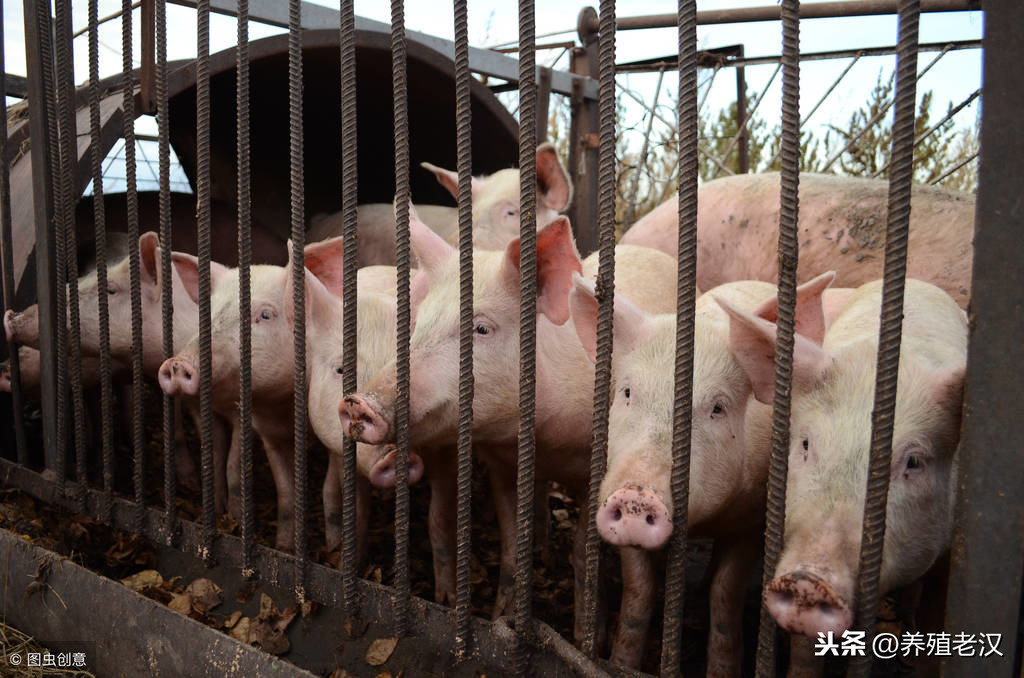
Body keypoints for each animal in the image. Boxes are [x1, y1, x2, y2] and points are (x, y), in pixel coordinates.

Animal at [337, 214, 679, 643]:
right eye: (419, 323)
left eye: (482, 329)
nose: (358, 402)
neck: (540, 438)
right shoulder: (501, 463)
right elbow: (512, 544)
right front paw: (502, 619)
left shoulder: (594, 463)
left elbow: (584, 553)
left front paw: (586, 638)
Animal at [573, 268, 843, 671]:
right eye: (626, 392)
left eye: (717, 408)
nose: (637, 494)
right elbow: (639, 589)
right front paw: (622, 662)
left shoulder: (752, 519)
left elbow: (725, 592)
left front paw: (722, 670)